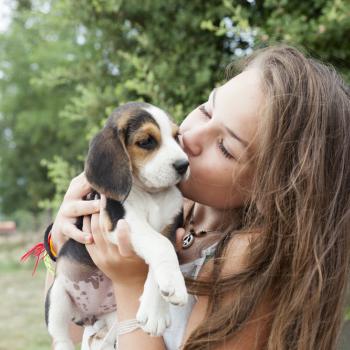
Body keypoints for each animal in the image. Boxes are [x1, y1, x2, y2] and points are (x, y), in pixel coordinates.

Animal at [46, 100, 190, 348]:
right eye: (146, 141)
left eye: (176, 136)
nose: (184, 164)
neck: (152, 195)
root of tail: (90, 315)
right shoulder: (122, 219)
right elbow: (160, 245)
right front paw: (173, 286)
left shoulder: (171, 227)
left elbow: (163, 249)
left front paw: (155, 312)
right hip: (57, 296)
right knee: (60, 336)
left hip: (112, 314)